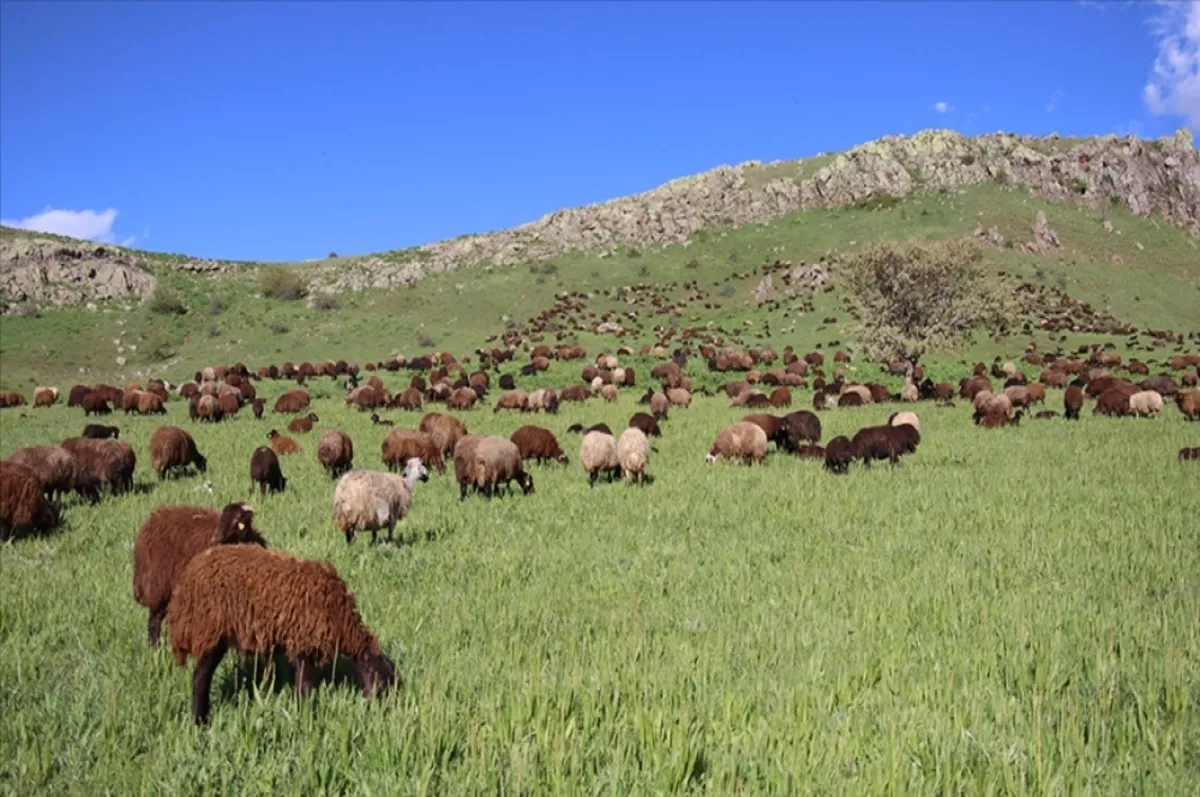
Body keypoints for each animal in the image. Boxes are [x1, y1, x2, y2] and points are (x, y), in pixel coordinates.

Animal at [132, 504, 266, 648]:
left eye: (236, 519)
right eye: (222, 518)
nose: (215, 537)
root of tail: (152, 520)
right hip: (160, 586)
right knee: (154, 620)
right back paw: (155, 648)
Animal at [164, 544, 396, 724]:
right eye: (384, 684)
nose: (385, 713)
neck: (341, 619)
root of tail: (186, 583)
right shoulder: (304, 642)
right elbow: (305, 685)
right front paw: (306, 716)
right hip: (210, 631)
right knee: (200, 677)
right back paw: (200, 721)